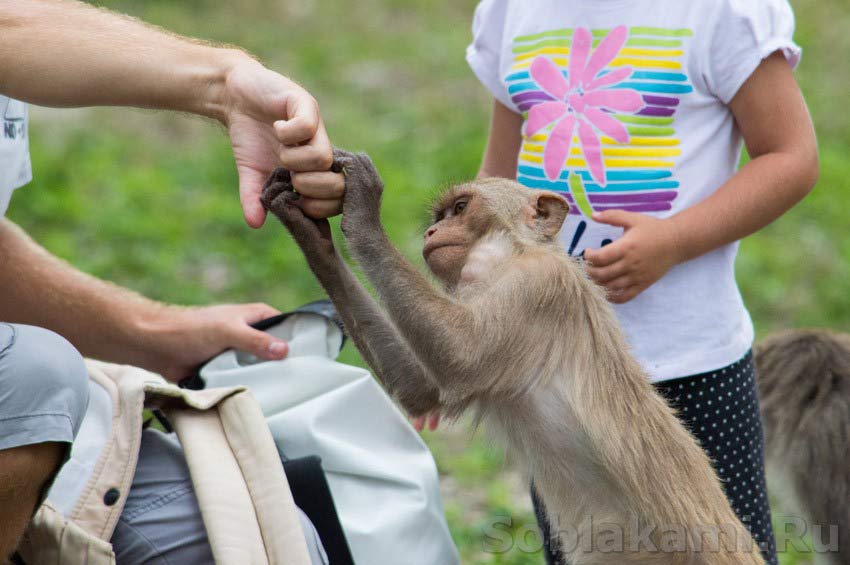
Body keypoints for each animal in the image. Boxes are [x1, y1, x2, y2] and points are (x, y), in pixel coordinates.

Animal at [262, 150, 764, 564]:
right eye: (441, 215)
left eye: (460, 209)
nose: (432, 231)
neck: (506, 261)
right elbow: (425, 391)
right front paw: (310, 233)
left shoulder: (537, 290)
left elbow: (460, 358)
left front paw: (363, 210)